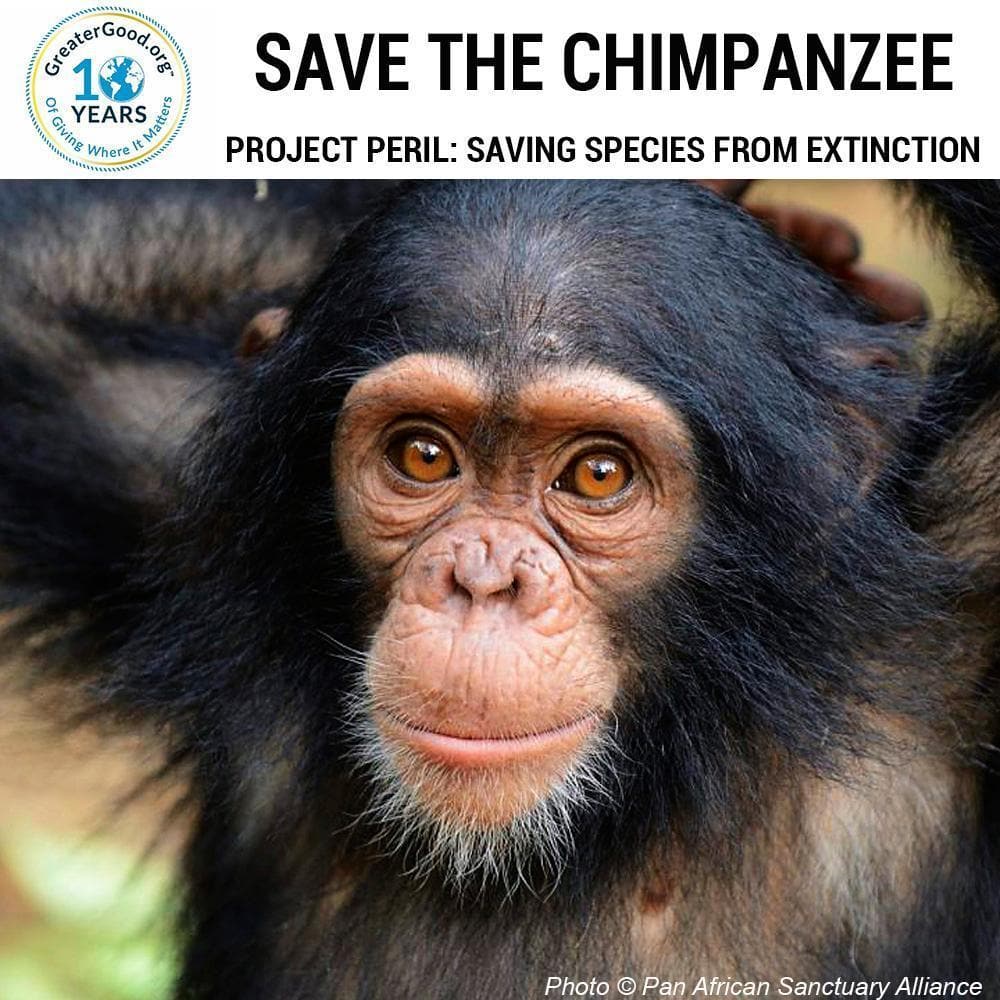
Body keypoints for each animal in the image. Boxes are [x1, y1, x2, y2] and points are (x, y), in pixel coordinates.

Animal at [2, 179, 1000, 999]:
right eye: (421, 454)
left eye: (598, 473)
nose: (482, 580)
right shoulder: (160, 460)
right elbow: (34, 307)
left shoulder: (950, 601)